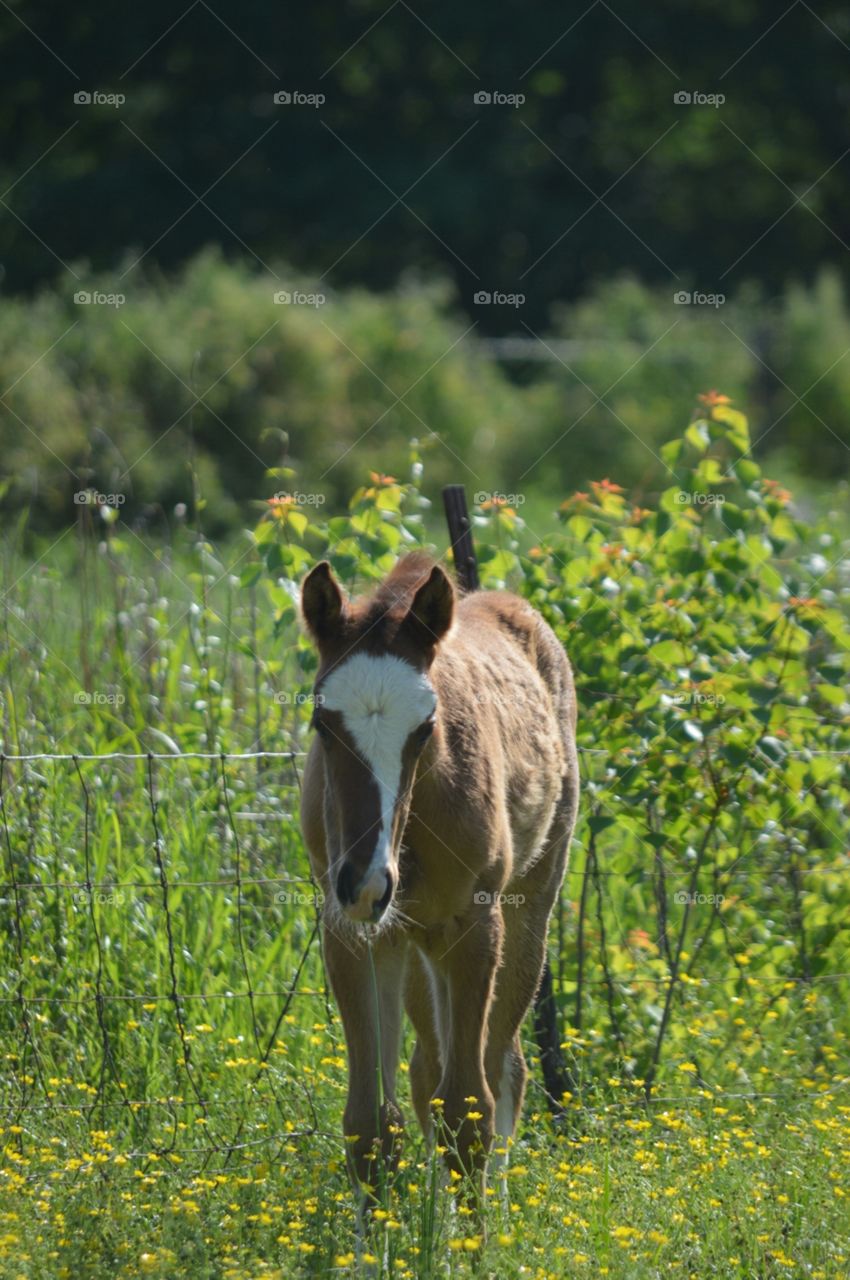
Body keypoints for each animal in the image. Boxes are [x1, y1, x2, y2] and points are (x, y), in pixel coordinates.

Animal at [299, 551, 579, 1202]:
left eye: (426, 726)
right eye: (322, 720)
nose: (365, 880)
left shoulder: (472, 926)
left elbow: (470, 1111)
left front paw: (476, 1232)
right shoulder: (353, 934)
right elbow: (370, 1124)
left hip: (524, 911)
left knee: (505, 1068)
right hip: (416, 944)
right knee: (428, 1070)